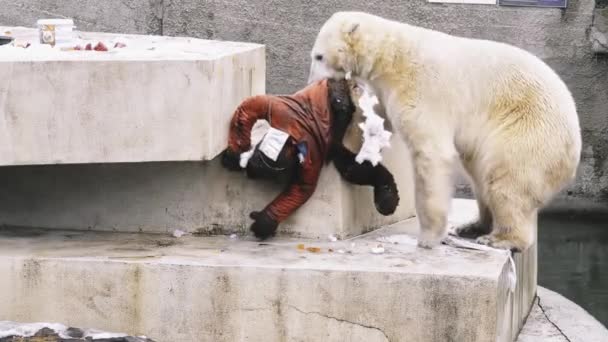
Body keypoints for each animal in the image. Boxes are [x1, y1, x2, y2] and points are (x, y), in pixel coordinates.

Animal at [312, 11, 580, 251]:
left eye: (318, 56)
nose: (312, 81)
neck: (390, 56)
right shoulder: (385, 91)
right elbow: (375, 122)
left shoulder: (420, 88)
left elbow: (431, 153)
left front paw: (428, 238)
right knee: (481, 179)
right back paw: (472, 226)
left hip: (527, 132)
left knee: (506, 180)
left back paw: (500, 239)